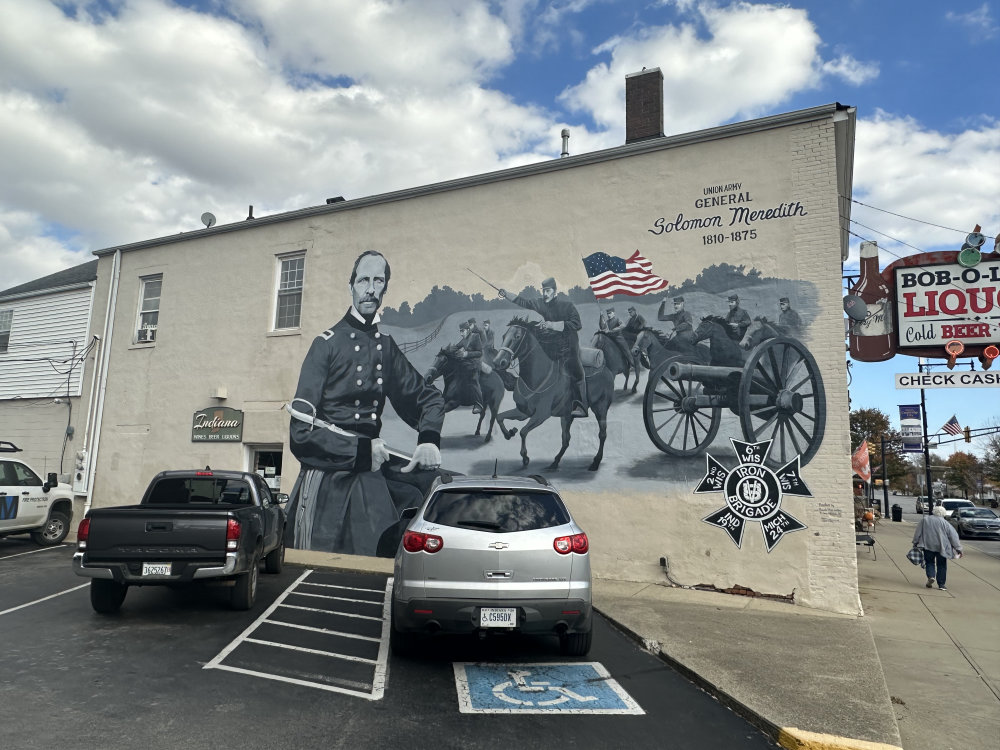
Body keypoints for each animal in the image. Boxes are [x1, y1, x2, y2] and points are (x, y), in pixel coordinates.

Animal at [490, 318, 612, 472]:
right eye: (504, 336)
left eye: (517, 336)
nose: (498, 362)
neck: (536, 379)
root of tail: (606, 368)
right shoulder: (523, 412)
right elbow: (500, 417)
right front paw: (509, 433)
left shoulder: (541, 415)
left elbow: (523, 431)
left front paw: (525, 457)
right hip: (567, 416)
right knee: (566, 439)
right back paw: (554, 463)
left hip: (600, 408)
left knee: (602, 434)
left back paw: (595, 462)